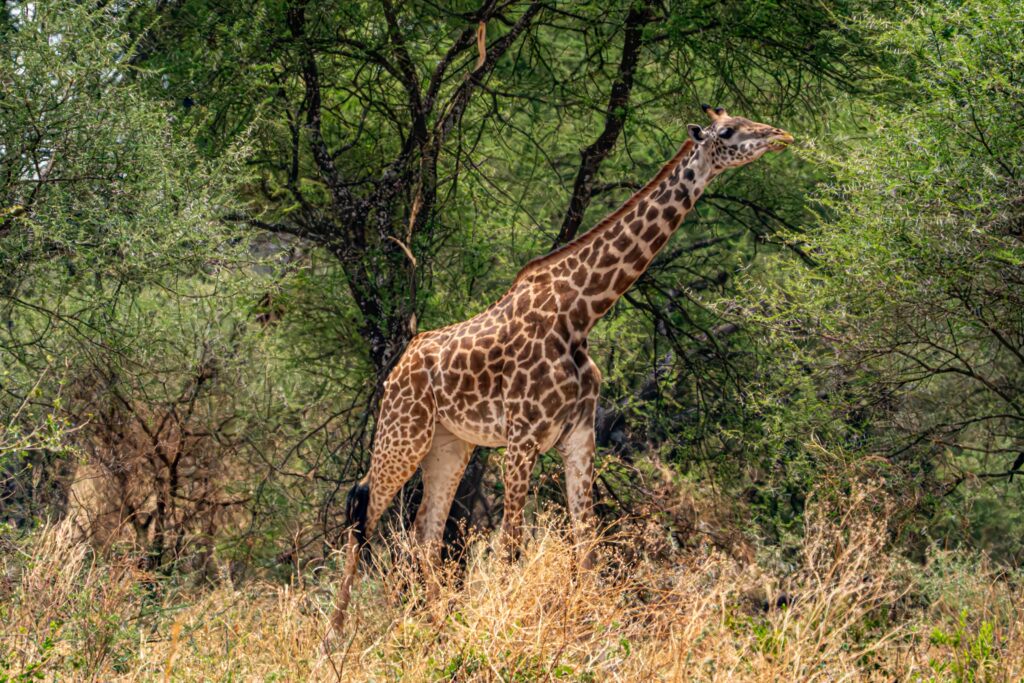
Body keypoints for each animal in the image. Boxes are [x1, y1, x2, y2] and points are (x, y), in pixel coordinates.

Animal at [331, 102, 794, 630]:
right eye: (728, 131)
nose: (781, 135)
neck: (581, 311)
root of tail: (398, 367)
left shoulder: (578, 435)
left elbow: (587, 545)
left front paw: (595, 630)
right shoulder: (521, 439)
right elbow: (510, 546)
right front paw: (501, 631)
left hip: (450, 445)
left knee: (423, 535)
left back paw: (439, 625)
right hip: (402, 433)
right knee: (363, 512)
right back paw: (336, 638)